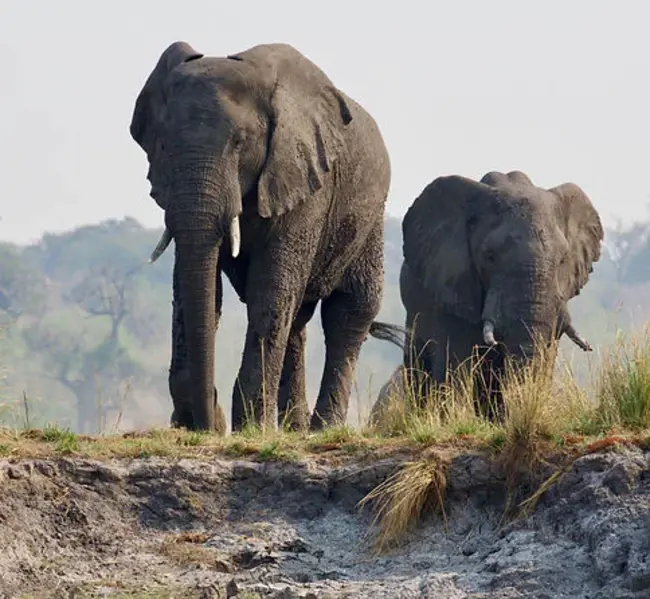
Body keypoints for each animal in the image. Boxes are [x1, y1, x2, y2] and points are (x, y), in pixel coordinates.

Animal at [128, 43, 388, 436]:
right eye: (163, 147)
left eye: (239, 142)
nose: (211, 425)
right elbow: (196, 287)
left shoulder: (304, 181)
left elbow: (269, 290)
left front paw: (250, 427)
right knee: (296, 319)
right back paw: (295, 428)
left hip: (370, 219)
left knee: (349, 310)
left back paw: (322, 429)